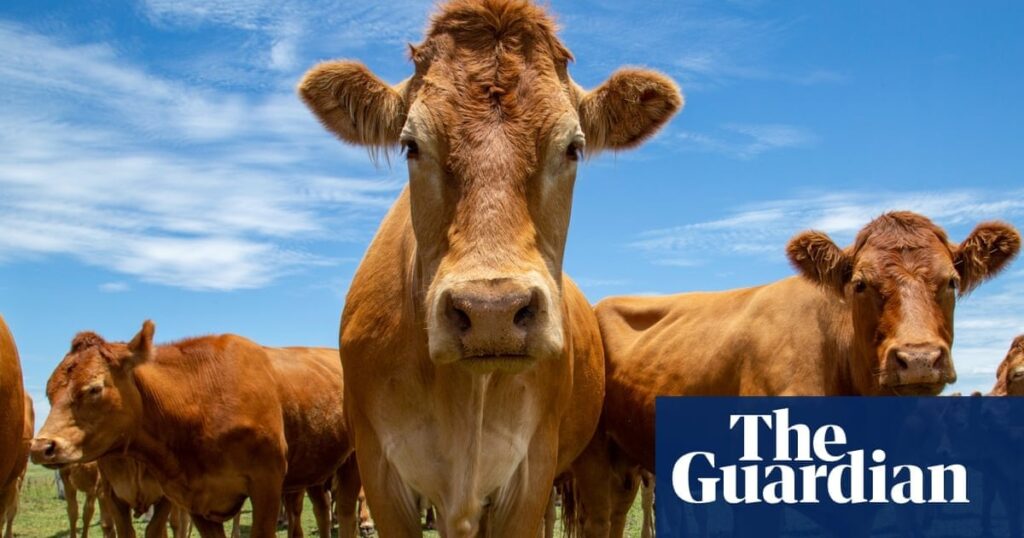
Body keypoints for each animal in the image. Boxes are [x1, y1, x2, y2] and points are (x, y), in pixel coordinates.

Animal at [31, 322, 354, 538]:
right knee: (321, 512)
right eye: (48, 392)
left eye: (94, 388)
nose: (41, 447)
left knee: (345, 512)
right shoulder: (195, 500)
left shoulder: (267, 484)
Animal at [571, 212, 1020, 536]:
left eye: (952, 281)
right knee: (598, 521)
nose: (919, 358)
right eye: (860, 283)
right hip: (594, 456)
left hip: (626, 461)